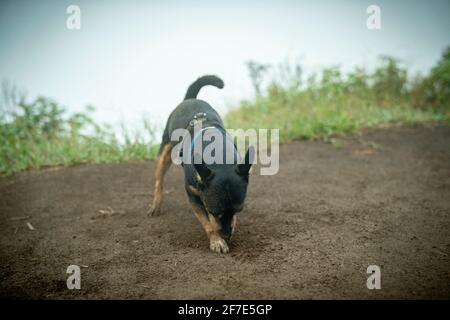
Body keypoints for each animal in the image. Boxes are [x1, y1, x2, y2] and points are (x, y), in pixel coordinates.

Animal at [149, 74, 251, 252]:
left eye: (239, 210)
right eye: (213, 211)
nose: (226, 235)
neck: (218, 157)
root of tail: (190, 99)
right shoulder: (193, 196)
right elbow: (207, 223)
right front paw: (217, 241)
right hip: (165, 151)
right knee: (159, 180)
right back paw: (156, 204)